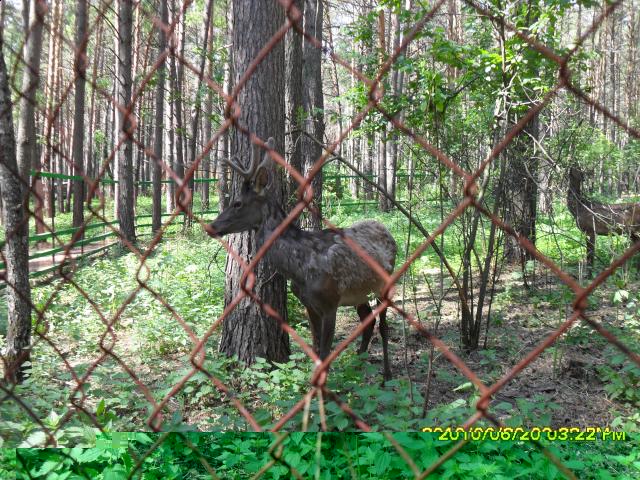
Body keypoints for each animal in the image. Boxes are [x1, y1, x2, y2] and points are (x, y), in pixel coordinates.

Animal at [206, 137, 396, 380]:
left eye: (237, 203)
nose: (211, 226)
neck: (299, 268)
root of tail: (386, 230)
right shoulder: (309, 304)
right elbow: (315, 349)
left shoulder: (330, 301)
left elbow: (324, 352)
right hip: (359, 292)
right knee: (367, 318)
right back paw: (357, 365)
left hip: (384, 283)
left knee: (383, 325)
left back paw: (387, 374)